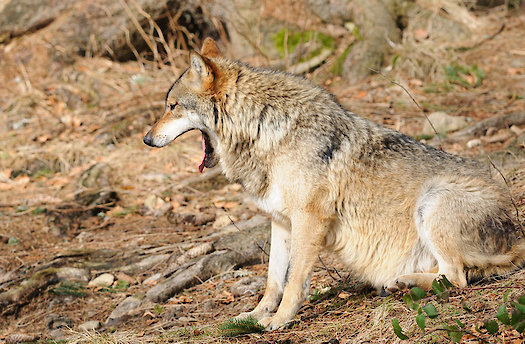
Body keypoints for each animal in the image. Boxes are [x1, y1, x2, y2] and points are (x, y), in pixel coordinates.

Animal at [141, 37, 520, 330]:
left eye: (172, 106)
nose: (146, 139)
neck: (266, 130)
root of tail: (516, 235)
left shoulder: (310, 219)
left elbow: (294, 281)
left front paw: (280, 321)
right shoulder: (280, 221)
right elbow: (273, 281)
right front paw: (253, 318)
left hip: (432, 200)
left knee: (457, 277)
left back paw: (404, 282)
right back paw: (399, 283)